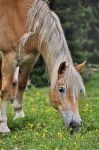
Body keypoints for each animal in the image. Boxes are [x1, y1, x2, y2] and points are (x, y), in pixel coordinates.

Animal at [0, 0, 85, 134]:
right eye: (61, 89)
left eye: (80, 91)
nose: (75, 124)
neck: (21, 18)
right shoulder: (9, 58)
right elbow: (5, 91)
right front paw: (3, 126)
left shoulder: (29, 60)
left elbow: (22, 84)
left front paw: (19, 115)